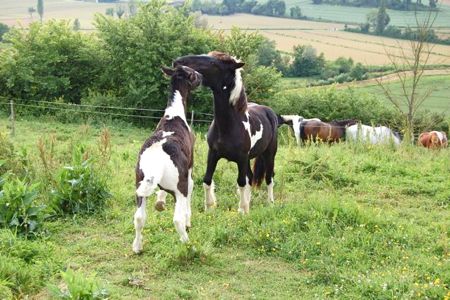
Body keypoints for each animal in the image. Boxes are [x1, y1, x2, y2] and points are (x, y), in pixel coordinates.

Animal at [132, 65, 202, 253]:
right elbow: (191, 189)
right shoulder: (189, 171)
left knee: (139, 217)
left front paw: (160, 202)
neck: (174, 116)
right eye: (192, 74)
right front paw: (189, 221)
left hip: (140, 184)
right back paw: (189, 246)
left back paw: (137, 247)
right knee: (177, 219)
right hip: (179, 188)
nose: (201, 76)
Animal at [174, 52, 280, 216]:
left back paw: (270, 203)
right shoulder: (213, 153)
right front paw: (209, 207)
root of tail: (269, 112)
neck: (229, 125)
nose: (179, 62)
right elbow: (207, 179)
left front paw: (242, 210)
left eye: (213, 63)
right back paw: (249, 202)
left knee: (269, 178)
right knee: (251, 177)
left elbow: (241, 182)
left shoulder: (241, 158)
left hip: (269, 154)